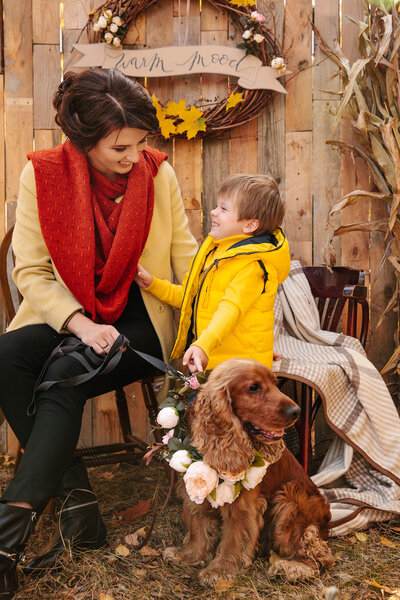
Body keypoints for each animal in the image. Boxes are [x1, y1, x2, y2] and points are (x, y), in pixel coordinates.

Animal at [163, 358, 334, 584]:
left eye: (275, 383)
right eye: (253, 388)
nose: (296, 411)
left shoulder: (243, 504)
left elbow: (233, 537)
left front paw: (219, 570)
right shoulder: (195, 494)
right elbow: (198, 527)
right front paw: (188, 556)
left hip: (289, 499)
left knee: (319, 555)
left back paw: (290, 567)